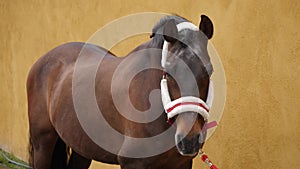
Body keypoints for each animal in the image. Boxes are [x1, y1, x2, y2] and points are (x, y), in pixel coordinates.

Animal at [25, 14, 213, 169]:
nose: (189, 141)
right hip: (43, 143)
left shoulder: (181, 163)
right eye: (168, 71)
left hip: (82, 147)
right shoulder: (133, 163)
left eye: (209, 71)